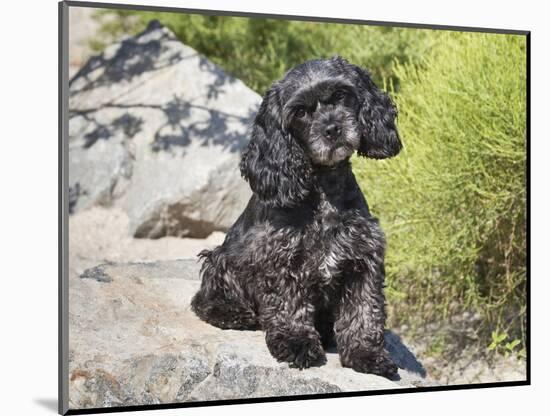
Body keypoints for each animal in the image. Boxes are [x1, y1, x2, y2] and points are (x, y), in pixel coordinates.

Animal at [192, 57, 404, 378]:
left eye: (340, 95)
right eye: (301, 112)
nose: (332, 128)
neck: (324, 190)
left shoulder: (363, 259)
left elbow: (364, 311)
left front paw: (366, 354)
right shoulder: (279, 259)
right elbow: (288, 307)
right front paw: (298, 344)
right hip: (220, 259)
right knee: (203, 301)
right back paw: (236, 313)